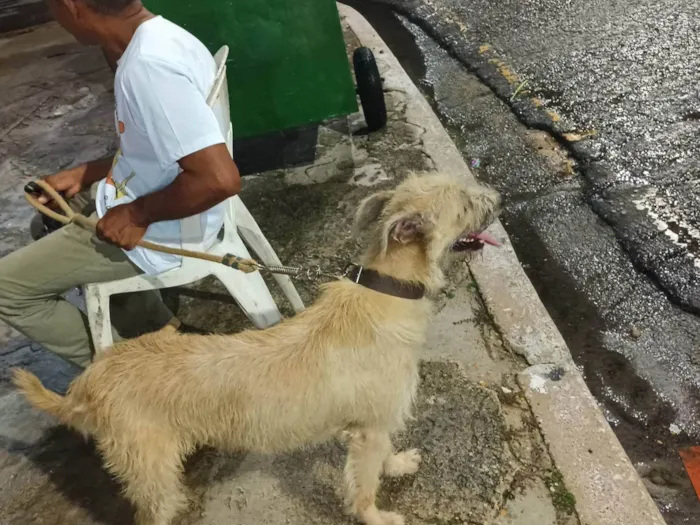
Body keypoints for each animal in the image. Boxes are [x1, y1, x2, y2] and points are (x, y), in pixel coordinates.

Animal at [13, 174, 500, 524]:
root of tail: (86, 384)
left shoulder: (369, 426)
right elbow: (363, 485)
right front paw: (377, 516)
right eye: (463, 203)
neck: (387, 290)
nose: (495, 197)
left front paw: (396, 464)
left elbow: (382, 458)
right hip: (151, 474)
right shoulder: (370, 428)